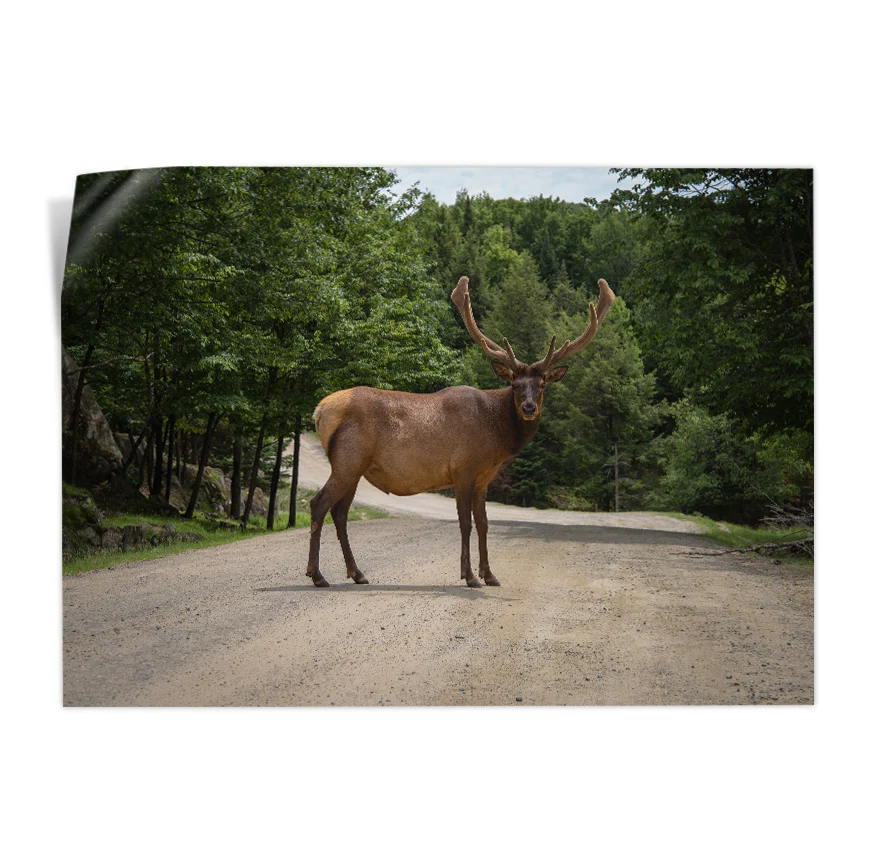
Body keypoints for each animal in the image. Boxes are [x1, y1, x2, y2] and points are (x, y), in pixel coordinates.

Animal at [306, 275, 616, 588]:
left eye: (541, 385)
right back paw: (317, 574)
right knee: (318, 504)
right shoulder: (462, 469)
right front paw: (469, 576)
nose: (528, 407)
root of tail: (319, 411)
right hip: (348, 460)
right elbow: (465, 523)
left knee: (340, 512)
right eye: (515, 384)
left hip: (354, 467)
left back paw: (357, 573)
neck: (497, 440)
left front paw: (490, 574)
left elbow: (484, 523)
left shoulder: (483, 479)